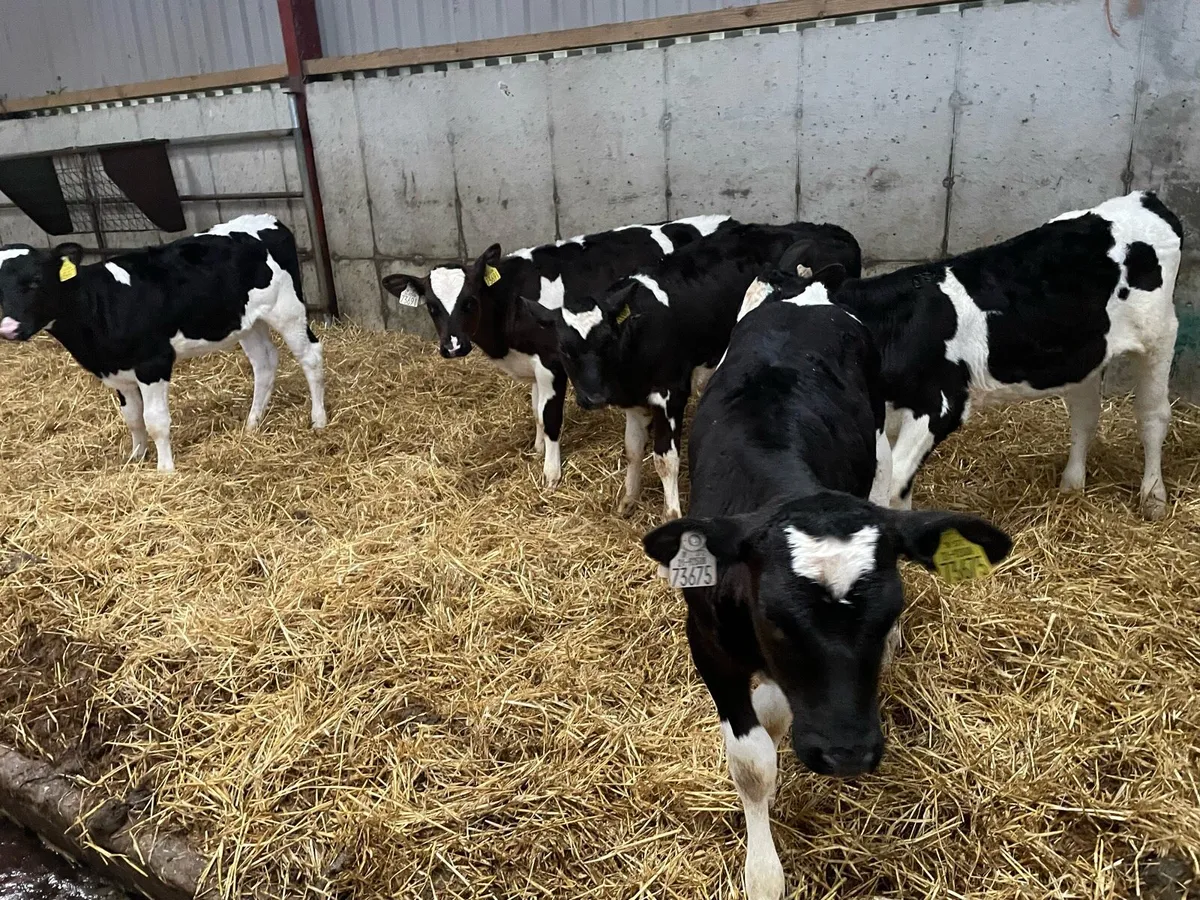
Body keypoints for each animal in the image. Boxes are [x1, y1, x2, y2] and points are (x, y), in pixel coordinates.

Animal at [0, 214, 326, 470]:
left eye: (35, 281)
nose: (8, 328)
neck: (101, 303)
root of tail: (268, 220)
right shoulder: (118, 372)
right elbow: (132, 418)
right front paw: (135, 458)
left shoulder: (152, 364)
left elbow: (155, 420)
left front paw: (165, 469)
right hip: (247, 323)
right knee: (264, 363)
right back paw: (252, 423)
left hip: (288, 310)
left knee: (310, 357)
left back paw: (318, 419)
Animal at [382, 215, 733, 489]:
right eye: (432, 306)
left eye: (469, 301)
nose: (453, 346)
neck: (512, 299)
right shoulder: (532, 365)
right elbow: (536, 410)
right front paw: (537, 449)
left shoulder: (551, 362)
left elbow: (550, 416)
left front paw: (551, 472)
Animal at [554, 221, 862, 521]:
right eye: (564, 350)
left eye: (607, 341)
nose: (593, 398)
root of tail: (833, 230)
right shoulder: (635, 399)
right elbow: (632, 450)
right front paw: (628, 500)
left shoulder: (671, 393)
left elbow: (665, 460)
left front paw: (671, 513)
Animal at [641, 264, 1012, 900]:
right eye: (775, 618)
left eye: (890, 610)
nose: (846, 753)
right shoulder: (708, 642)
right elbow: (752, 763)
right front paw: (763, 874)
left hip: (882, 453)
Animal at [784, 191, 1182, 519]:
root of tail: (1144, 199)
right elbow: (895, 484)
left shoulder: (942, 405)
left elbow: (893, 484)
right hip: (1084, 355)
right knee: (1086, 416)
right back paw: (1071, 485)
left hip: (1160, 335)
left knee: (1153, 415)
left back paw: (1153, 498)